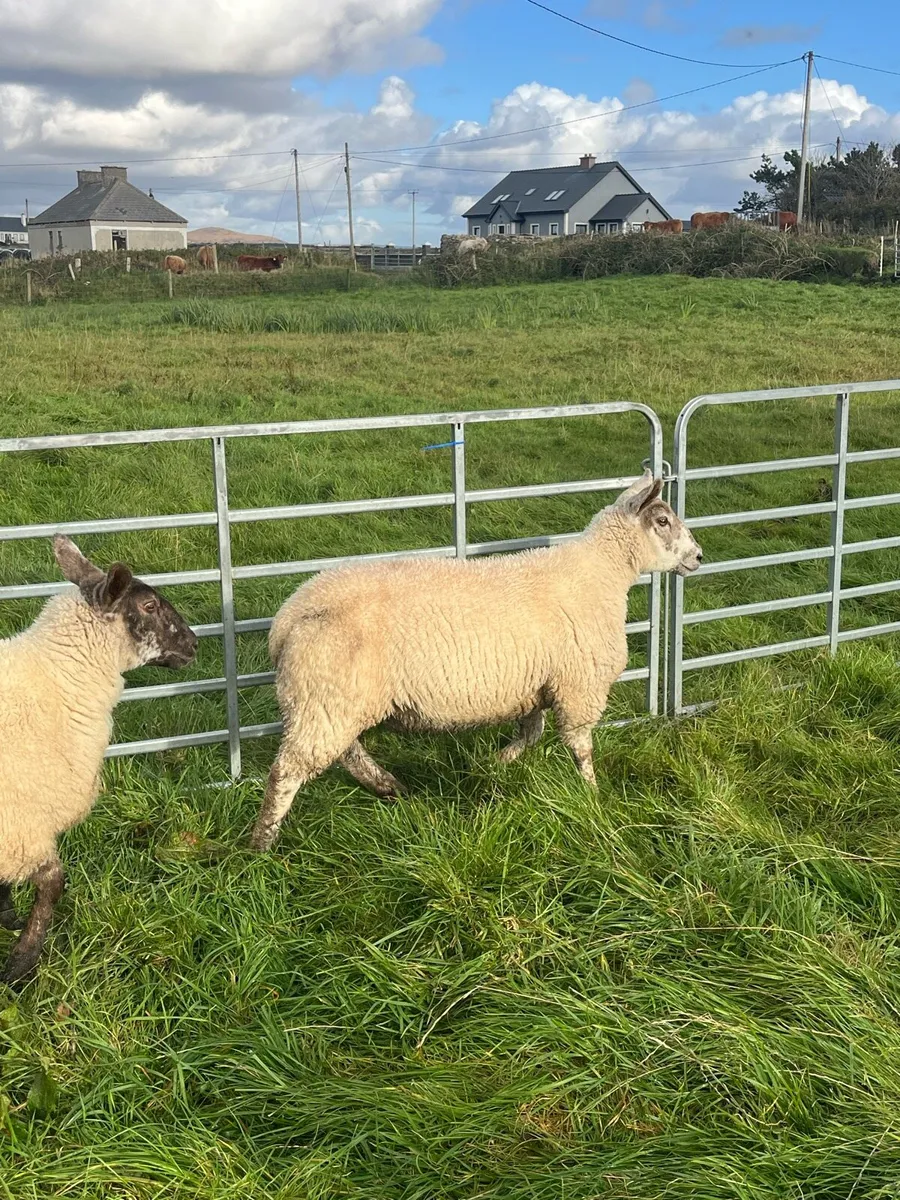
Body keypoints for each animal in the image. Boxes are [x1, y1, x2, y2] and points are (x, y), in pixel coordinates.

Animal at [0, 537, 197, 985]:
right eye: (148, 606)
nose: (194, 644)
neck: (57, 683)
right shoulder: (19, 825)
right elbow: (53, 884)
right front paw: (22, 961)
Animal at [249, 470, 703, 851]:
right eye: (663, 521)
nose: (699, 556)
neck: (601, 574)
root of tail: (290, 615)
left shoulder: (537, 684)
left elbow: (531, 735)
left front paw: (495, 765)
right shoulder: (578, 686)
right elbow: (580, 749)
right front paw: (592, 796)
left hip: (330, 699)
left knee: (345, 752)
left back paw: (388, 787)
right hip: (325, 697)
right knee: (287, 772)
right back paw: (262, 844)